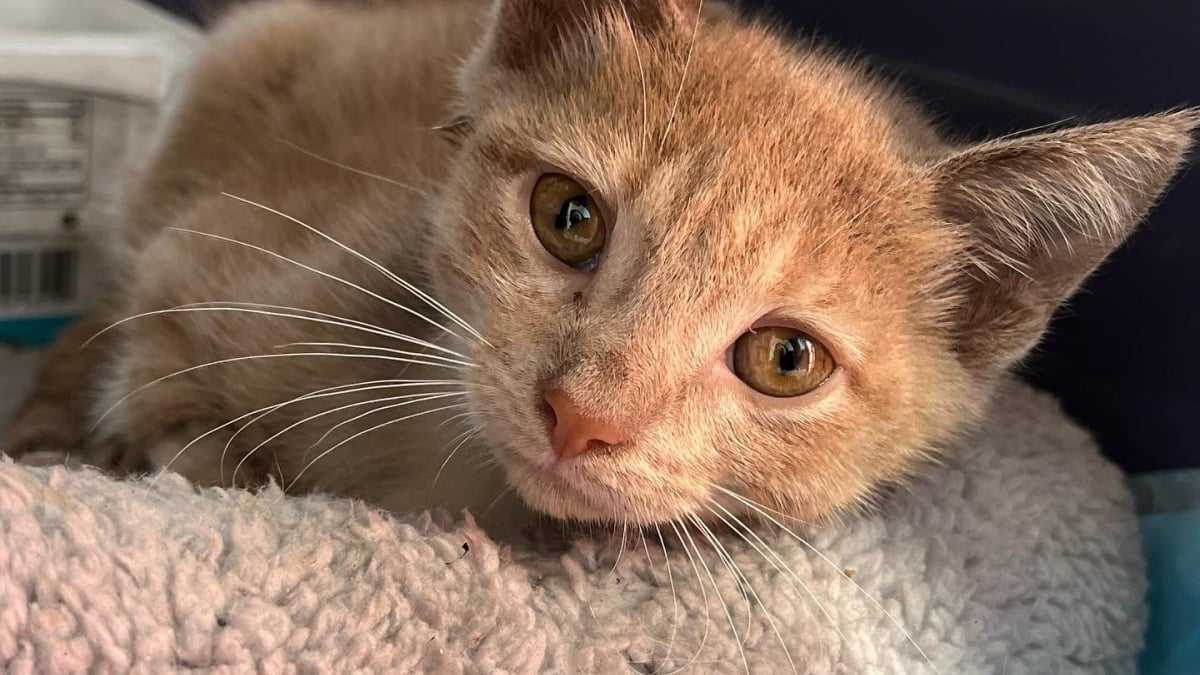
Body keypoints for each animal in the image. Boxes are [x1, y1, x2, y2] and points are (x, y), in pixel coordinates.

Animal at [4, 0, 1195, 526]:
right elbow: (171, 403)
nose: (581, 416)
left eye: (786, 359)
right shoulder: (198, 267)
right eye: (568, 217)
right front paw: (174, 455)